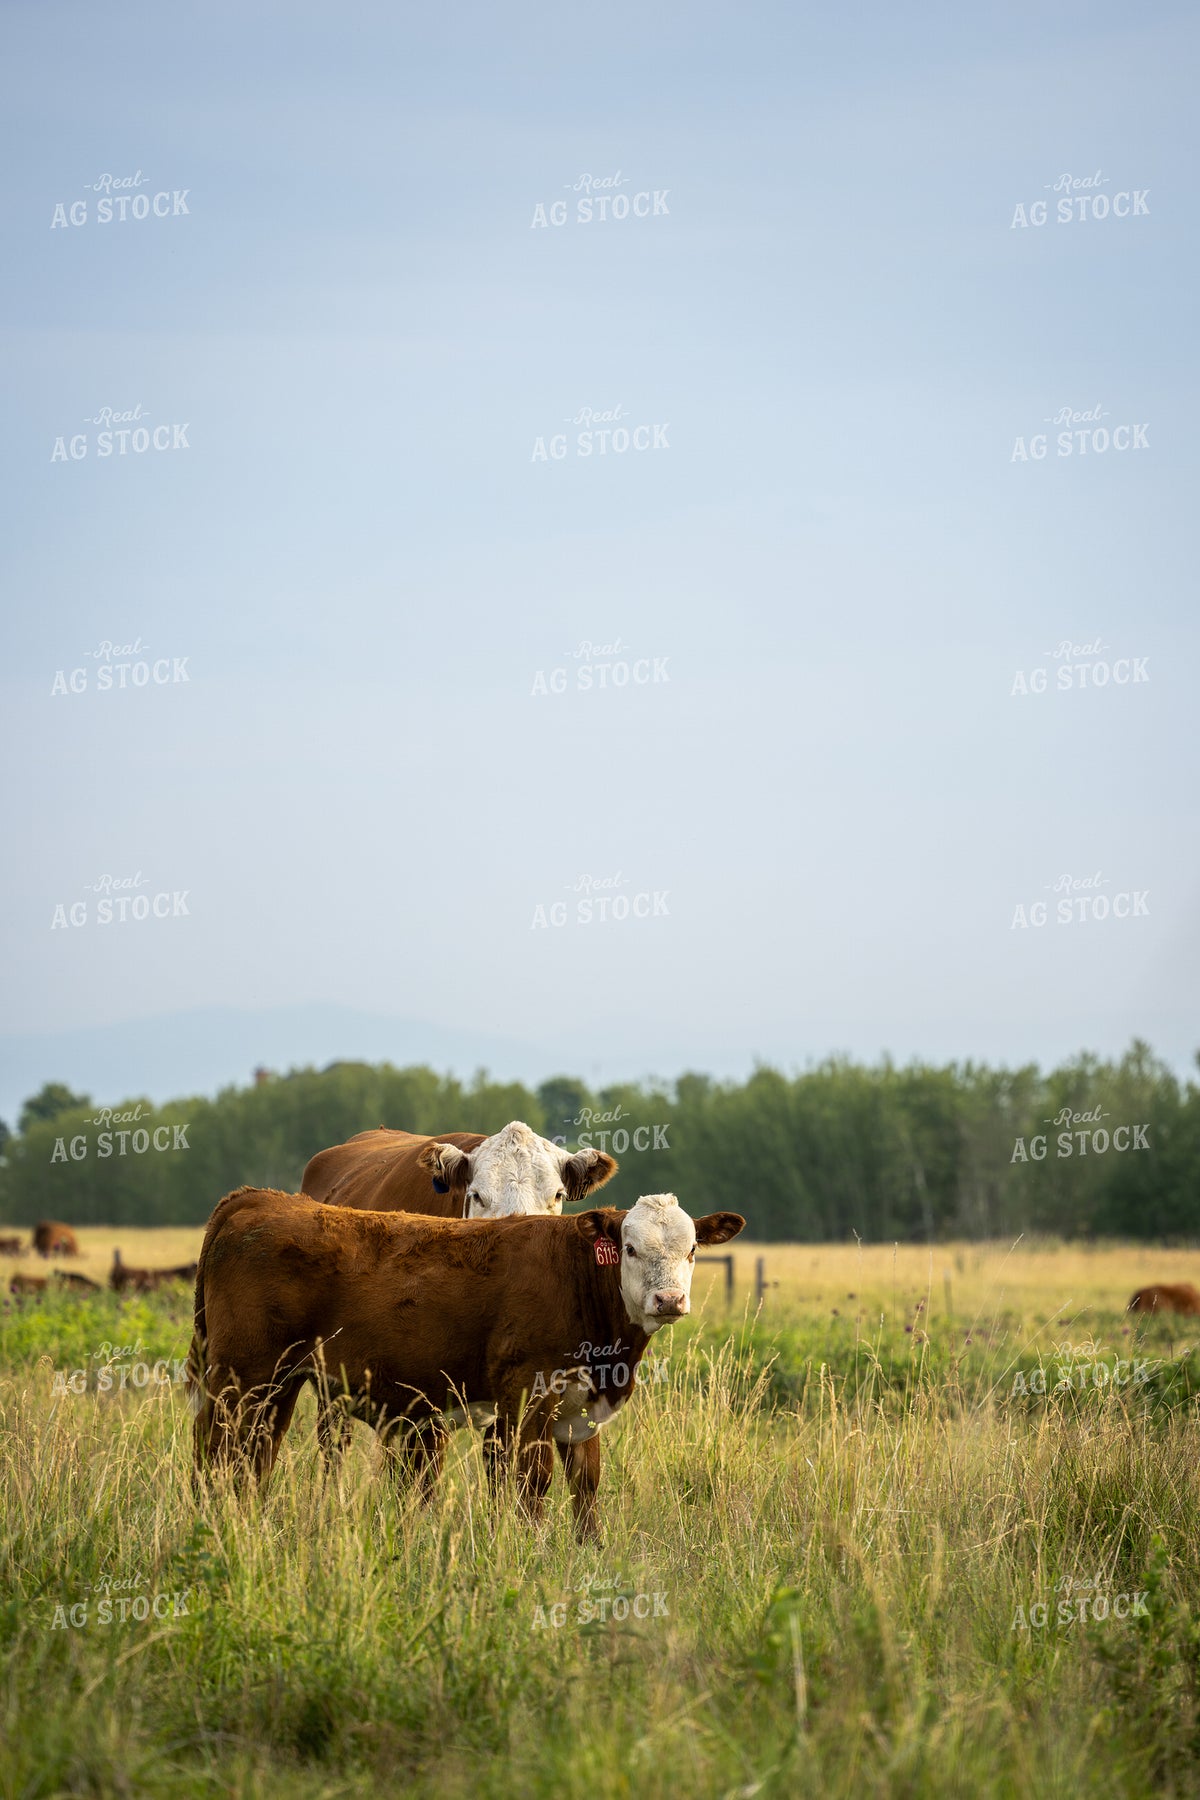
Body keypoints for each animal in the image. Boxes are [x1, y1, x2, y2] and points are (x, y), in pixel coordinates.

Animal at [189, 1187, 744, 1538]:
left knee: (257, 1454)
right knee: (213, 1447)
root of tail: (259, 1198)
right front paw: (530, 1551)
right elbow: (533, 1481)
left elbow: (585, 1487)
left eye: (692, 1250)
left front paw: (588, 1554)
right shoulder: (528, 1394)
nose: (669, 1300)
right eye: (629, 1248)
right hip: (241, 1376)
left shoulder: (580, 1411)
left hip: (281, 1382)